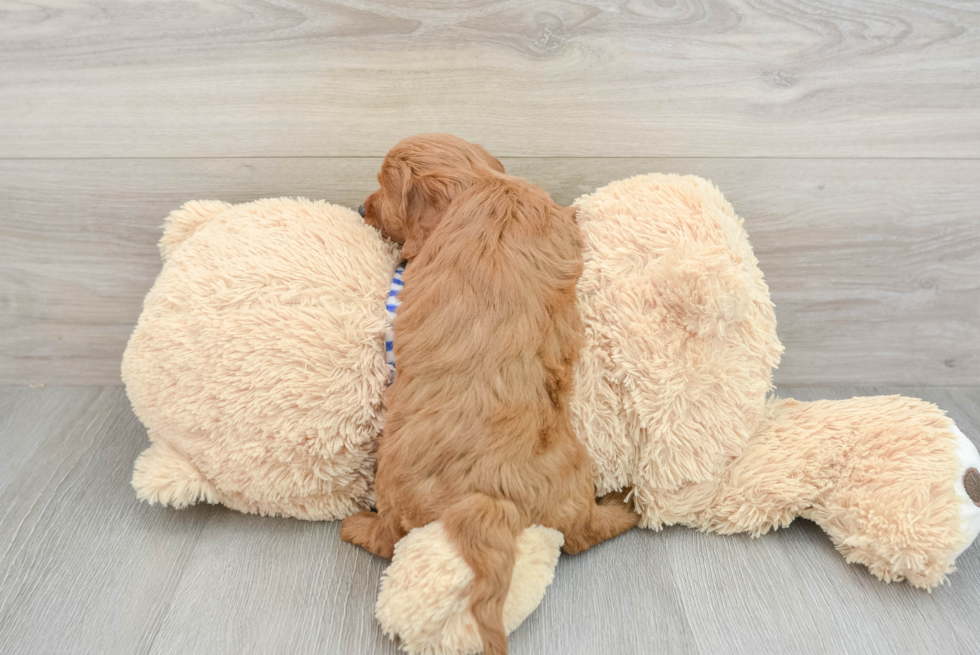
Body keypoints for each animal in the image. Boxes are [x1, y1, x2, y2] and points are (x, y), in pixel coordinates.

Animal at [342, 135, 636, 655]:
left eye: (384, 187)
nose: (360, 207)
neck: (479, 185)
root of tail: (488, 499)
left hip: (392, 482)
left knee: (389, 538)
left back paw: (355, 525)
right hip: (572, 474)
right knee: (583, 533)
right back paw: (623, 506)